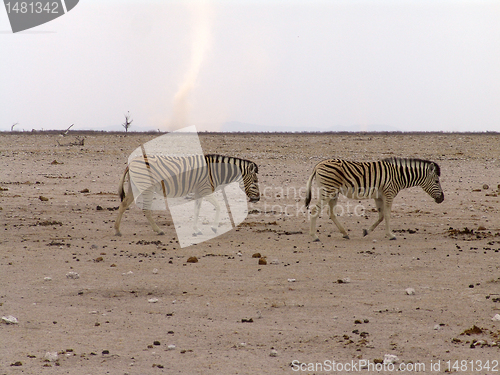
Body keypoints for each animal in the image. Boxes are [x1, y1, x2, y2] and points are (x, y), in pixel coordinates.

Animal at [114, 154, 260, 236]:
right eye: (255, 181)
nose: (257, 199)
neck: (215, 171)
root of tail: (131, 163)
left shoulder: (198, 192)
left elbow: (196, 210)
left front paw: (196, 230)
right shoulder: (205, 190)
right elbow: (218, 206)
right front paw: (213, 228)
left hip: (134, 187)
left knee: (123, 204)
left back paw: (117, 230)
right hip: (146, 187)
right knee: (146, 209)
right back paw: (158, 230)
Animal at [304, 158, 446, 241]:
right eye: (436, 181)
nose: (442, 199)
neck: (399, 176)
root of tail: (318, 165)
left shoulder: (379, 196)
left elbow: (381, 215)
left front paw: (367, 231)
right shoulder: (389, 193)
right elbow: (387, 215)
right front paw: (391, 235)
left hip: (333, 192)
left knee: (331, 213)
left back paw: (344, 233)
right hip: (328, 190)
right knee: (315, 210)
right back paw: (314, 236)